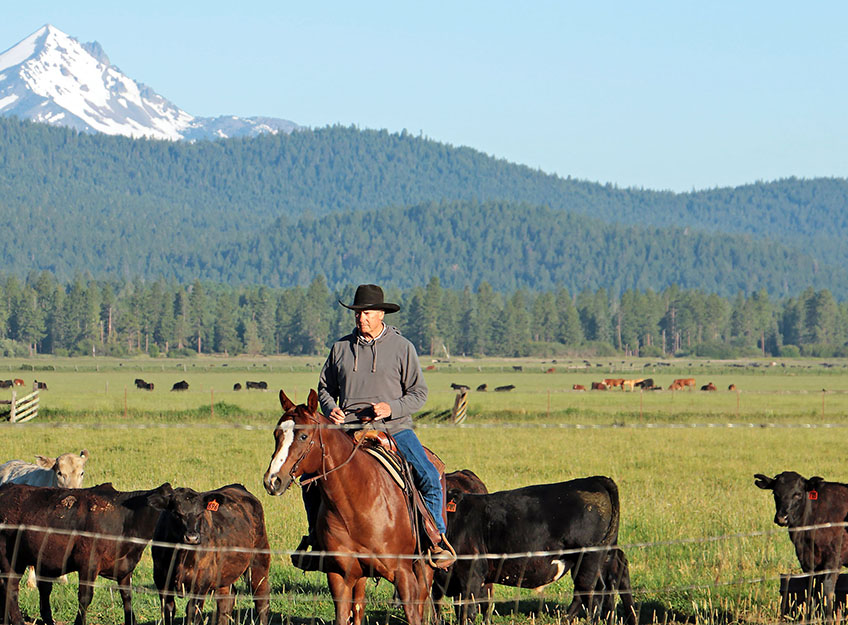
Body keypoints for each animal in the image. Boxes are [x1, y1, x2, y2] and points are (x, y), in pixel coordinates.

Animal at [0, 482, 171, 625]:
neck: (126, 519)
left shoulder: (124, 569)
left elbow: (127, 597)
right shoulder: (89, 564)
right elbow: (85, 597)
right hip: (11, 559)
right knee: (11, 588)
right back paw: (18, 621)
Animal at [152, 482, 270, 624]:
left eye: (200, 513)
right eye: (176, 513)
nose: (192, 538)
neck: (181, 553)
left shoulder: (201, 582)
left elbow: (193, 611)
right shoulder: (161, 579)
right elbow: (168, 610)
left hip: (259, 561)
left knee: (261, 599)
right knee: (226, 601)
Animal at [262, 388, 434, 624]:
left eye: (304, 436)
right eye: (276, 435)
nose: (272, 480)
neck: (358, 504)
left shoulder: (404, 574)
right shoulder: (340, 576)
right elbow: (344, 615)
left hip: (424, 566)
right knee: (359, 607)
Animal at [440, 476, 632, 620]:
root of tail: (595, 480)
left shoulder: (470, 572)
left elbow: (467, 612)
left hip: (589, 558)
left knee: (592, 594)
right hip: (600, 556)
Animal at [756, 470, 848, 608]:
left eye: (798, 494)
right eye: (775, 493)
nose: (782, 518)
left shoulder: (833, 559)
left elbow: (827, 593)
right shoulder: (808, 562)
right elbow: (812, 593)